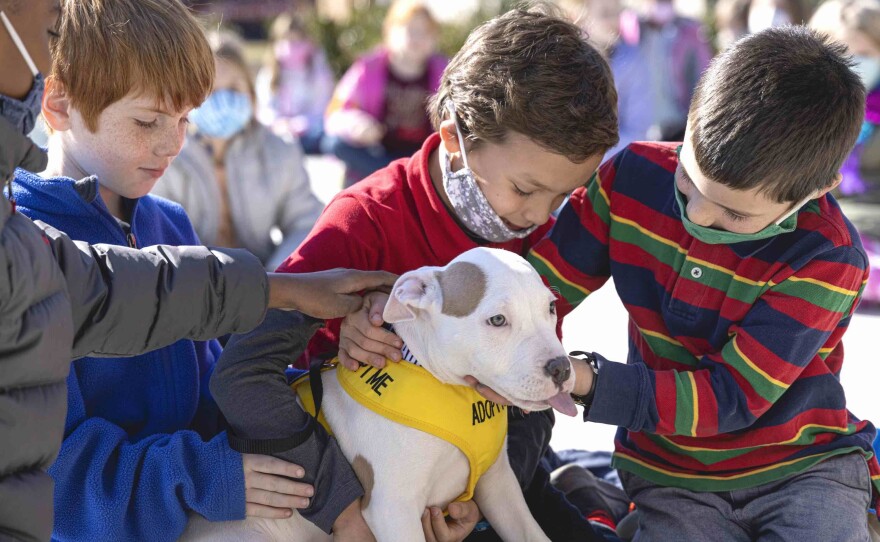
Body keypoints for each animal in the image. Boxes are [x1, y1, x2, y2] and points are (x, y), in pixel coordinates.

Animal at [183, 249, 580, 540]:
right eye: (497, 320)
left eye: (549, 308)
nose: (561, 368)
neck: (450, 389)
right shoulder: (393, 510)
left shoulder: (499, 485)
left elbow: (532, 533)